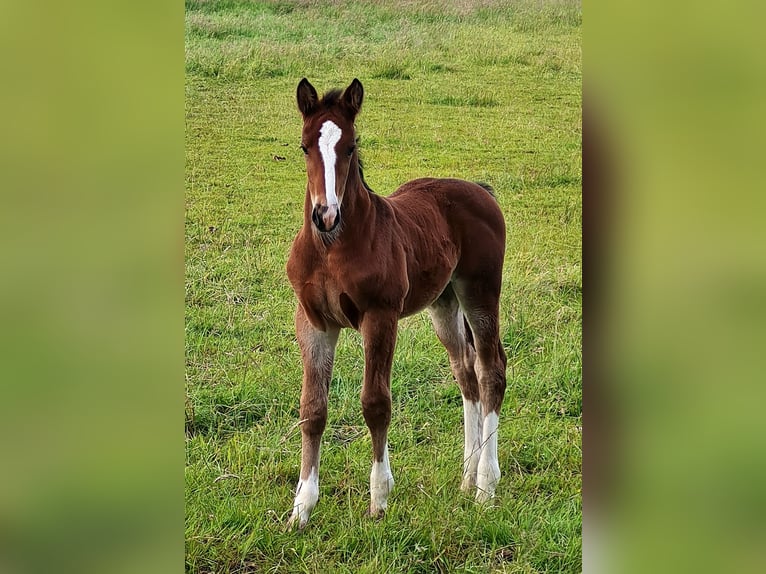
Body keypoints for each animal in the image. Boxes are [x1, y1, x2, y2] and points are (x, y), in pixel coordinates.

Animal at [284, 77, 508, 532]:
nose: (325, 215)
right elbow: (312, 409)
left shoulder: (380, 316)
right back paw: (466, 477)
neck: (332, 248)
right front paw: (302, 508)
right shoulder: (314, 321)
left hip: (480, 291)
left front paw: (380, 499)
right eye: (304, 146)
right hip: (443, 304)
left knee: (491, 370)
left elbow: (376, 403)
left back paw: (485, 487)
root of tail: (481, 190)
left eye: (351, 146)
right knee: (466, 374)